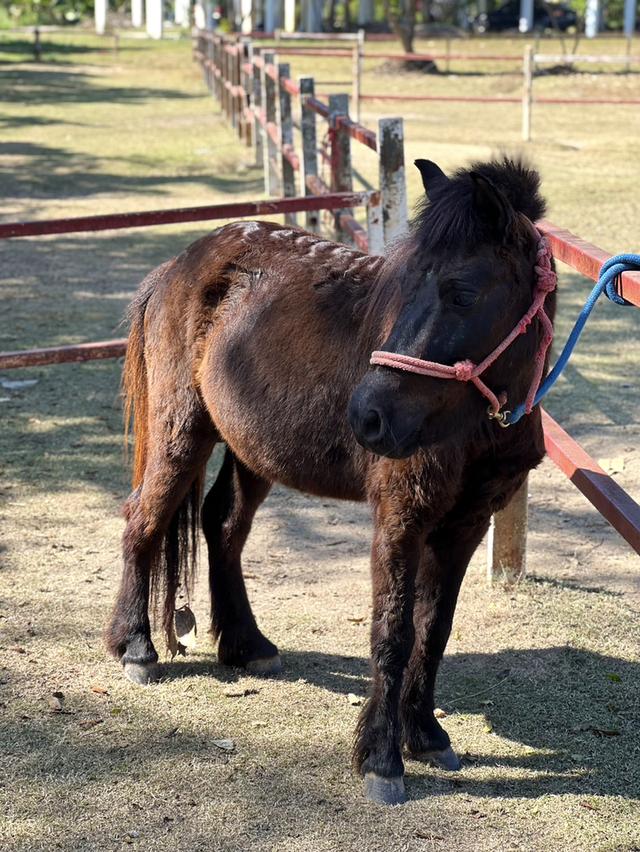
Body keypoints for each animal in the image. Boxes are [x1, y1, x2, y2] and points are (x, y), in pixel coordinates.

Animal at [106, 155, 556, 805]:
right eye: (402, 285)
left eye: (463, 292)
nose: (367, 416)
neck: (474, 422)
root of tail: (181, 264)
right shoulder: (401, 517)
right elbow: (393, 631)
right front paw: (383, 758)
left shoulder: (467, 524)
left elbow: (434, 629)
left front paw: (426, 734)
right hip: (181, 433)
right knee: (143, 521)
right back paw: (137, 648)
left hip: (251, 450)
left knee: (223, 526)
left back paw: (246, 645)